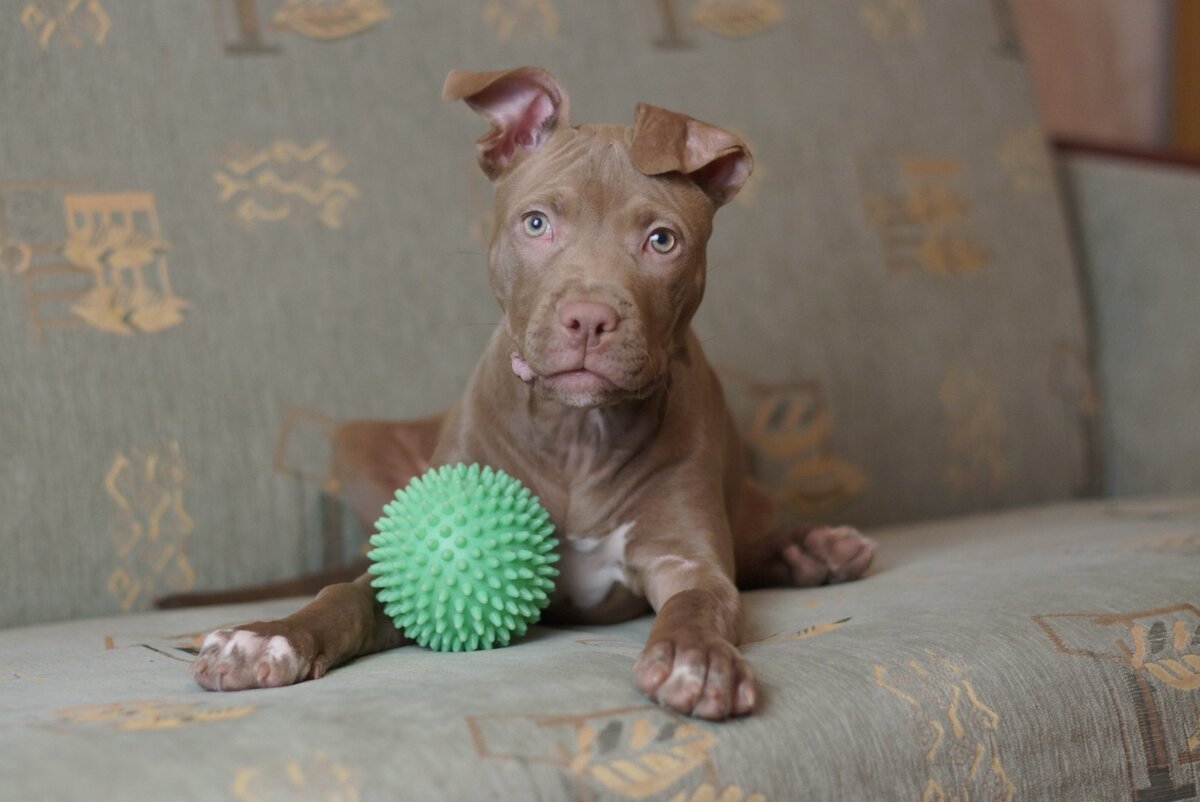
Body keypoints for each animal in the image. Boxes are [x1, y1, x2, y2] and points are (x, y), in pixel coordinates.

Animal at [194, 69, 873, 720]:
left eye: (662, 240)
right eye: (538, 223)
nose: (590, 319)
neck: (578, 434)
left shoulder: (686, 560)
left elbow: (703, 600)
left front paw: (696, 660)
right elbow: (347, 595)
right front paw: (269, 638)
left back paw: (814, 548)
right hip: (358, 446)